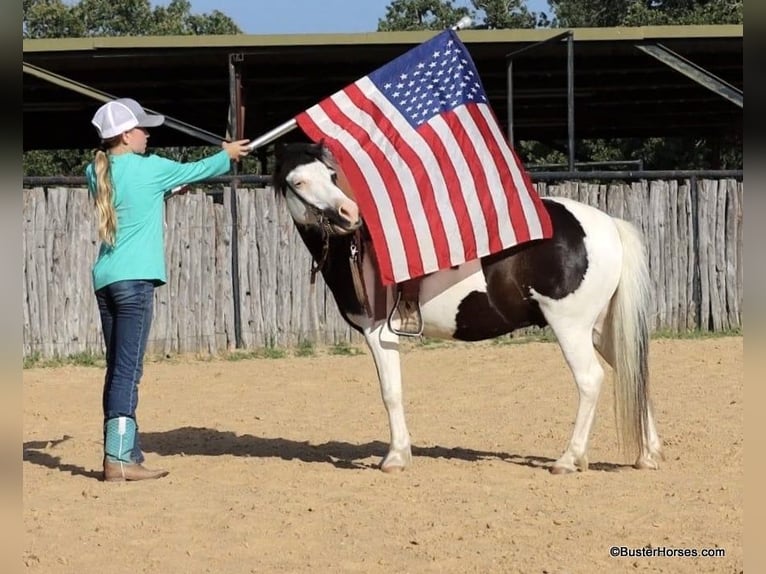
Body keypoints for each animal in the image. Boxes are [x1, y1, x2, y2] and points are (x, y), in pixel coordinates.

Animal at [272, 144, 664, 476]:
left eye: (331, 175)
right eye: (299, 181)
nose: (347, 213)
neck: (359, 246)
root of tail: (608, 225)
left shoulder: (378, 333)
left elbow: (391, 393)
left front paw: (395, 457)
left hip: (571, 328)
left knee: (591, 380)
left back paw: (569, 459)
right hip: (600, 328)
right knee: (633, 370)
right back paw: (648, 455)